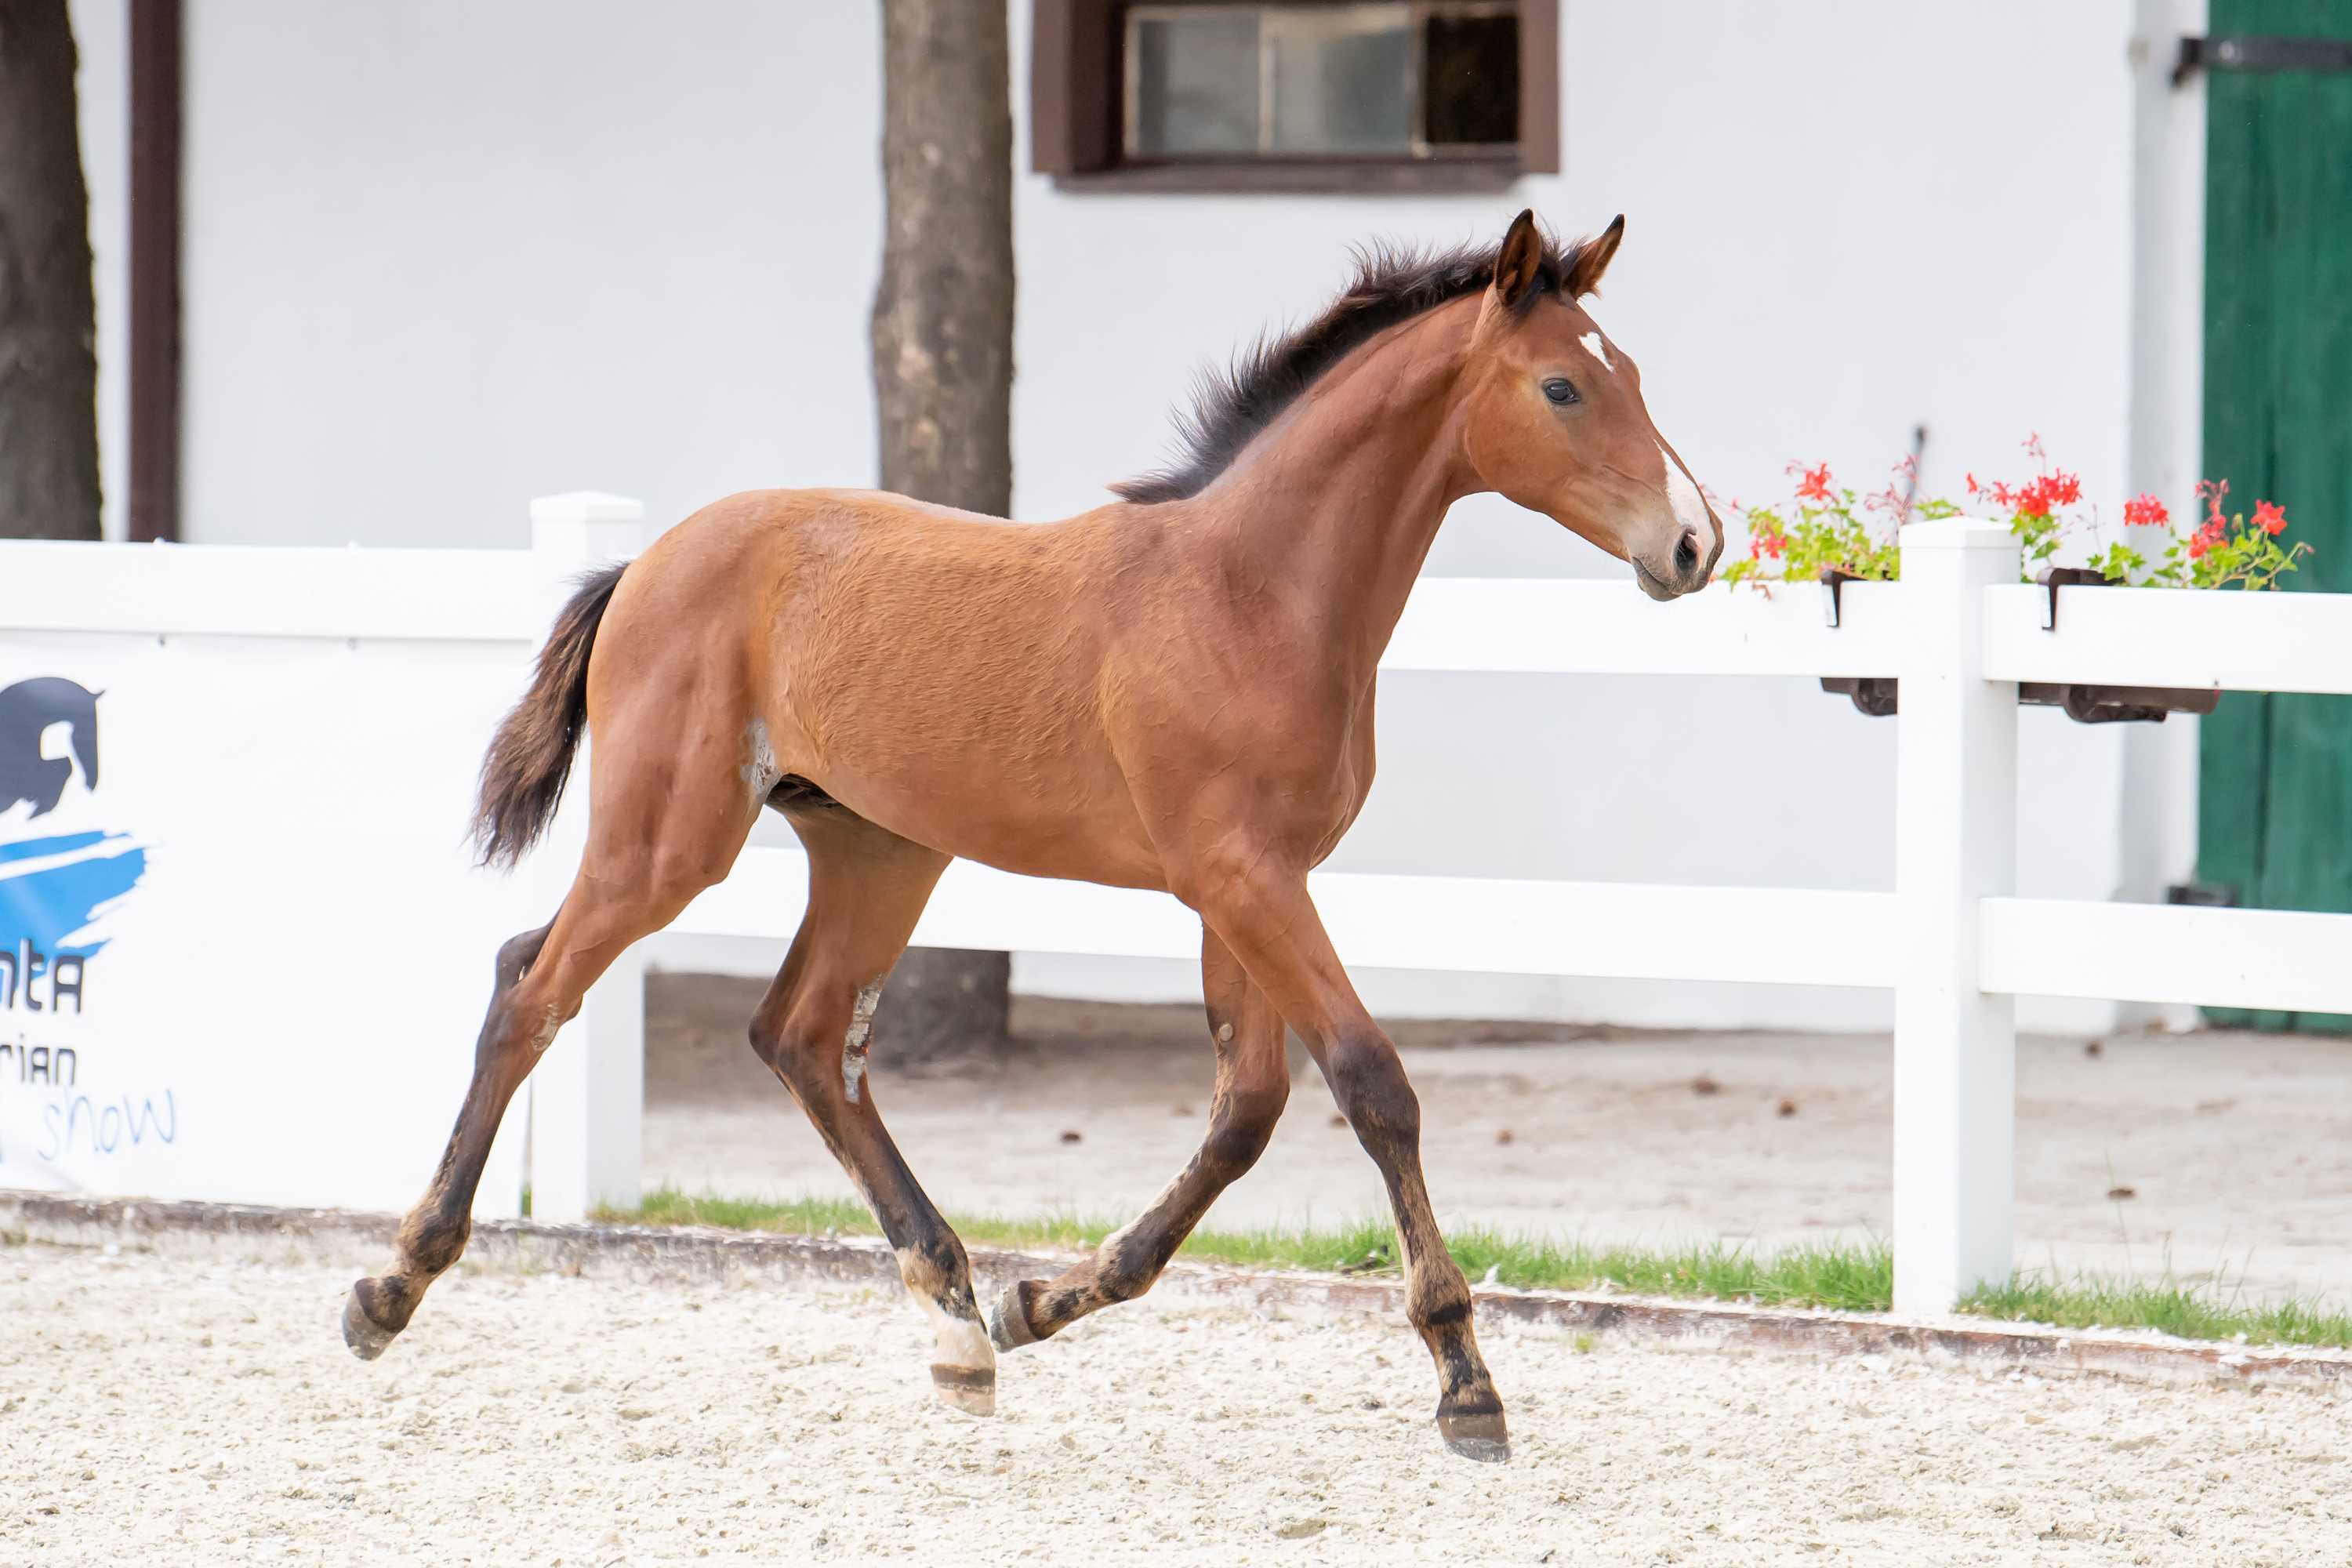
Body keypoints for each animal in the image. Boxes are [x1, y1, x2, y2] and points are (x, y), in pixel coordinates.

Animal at [342, 209, 1723, 1463]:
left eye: (1633, 376)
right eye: (1561, 386)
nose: (1694, 542)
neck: (1254, 591)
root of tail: (641, 564)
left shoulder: (1246, 884)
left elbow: (1247, 1112)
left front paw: (1041, 1301)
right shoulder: (1246, 875)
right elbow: (1371, 1083)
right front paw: (1467, 1386)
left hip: (880, 851)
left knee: (802, 1037)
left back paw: (959, 1324)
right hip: (668, 838)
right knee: (533, 984)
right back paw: (390, 1288)